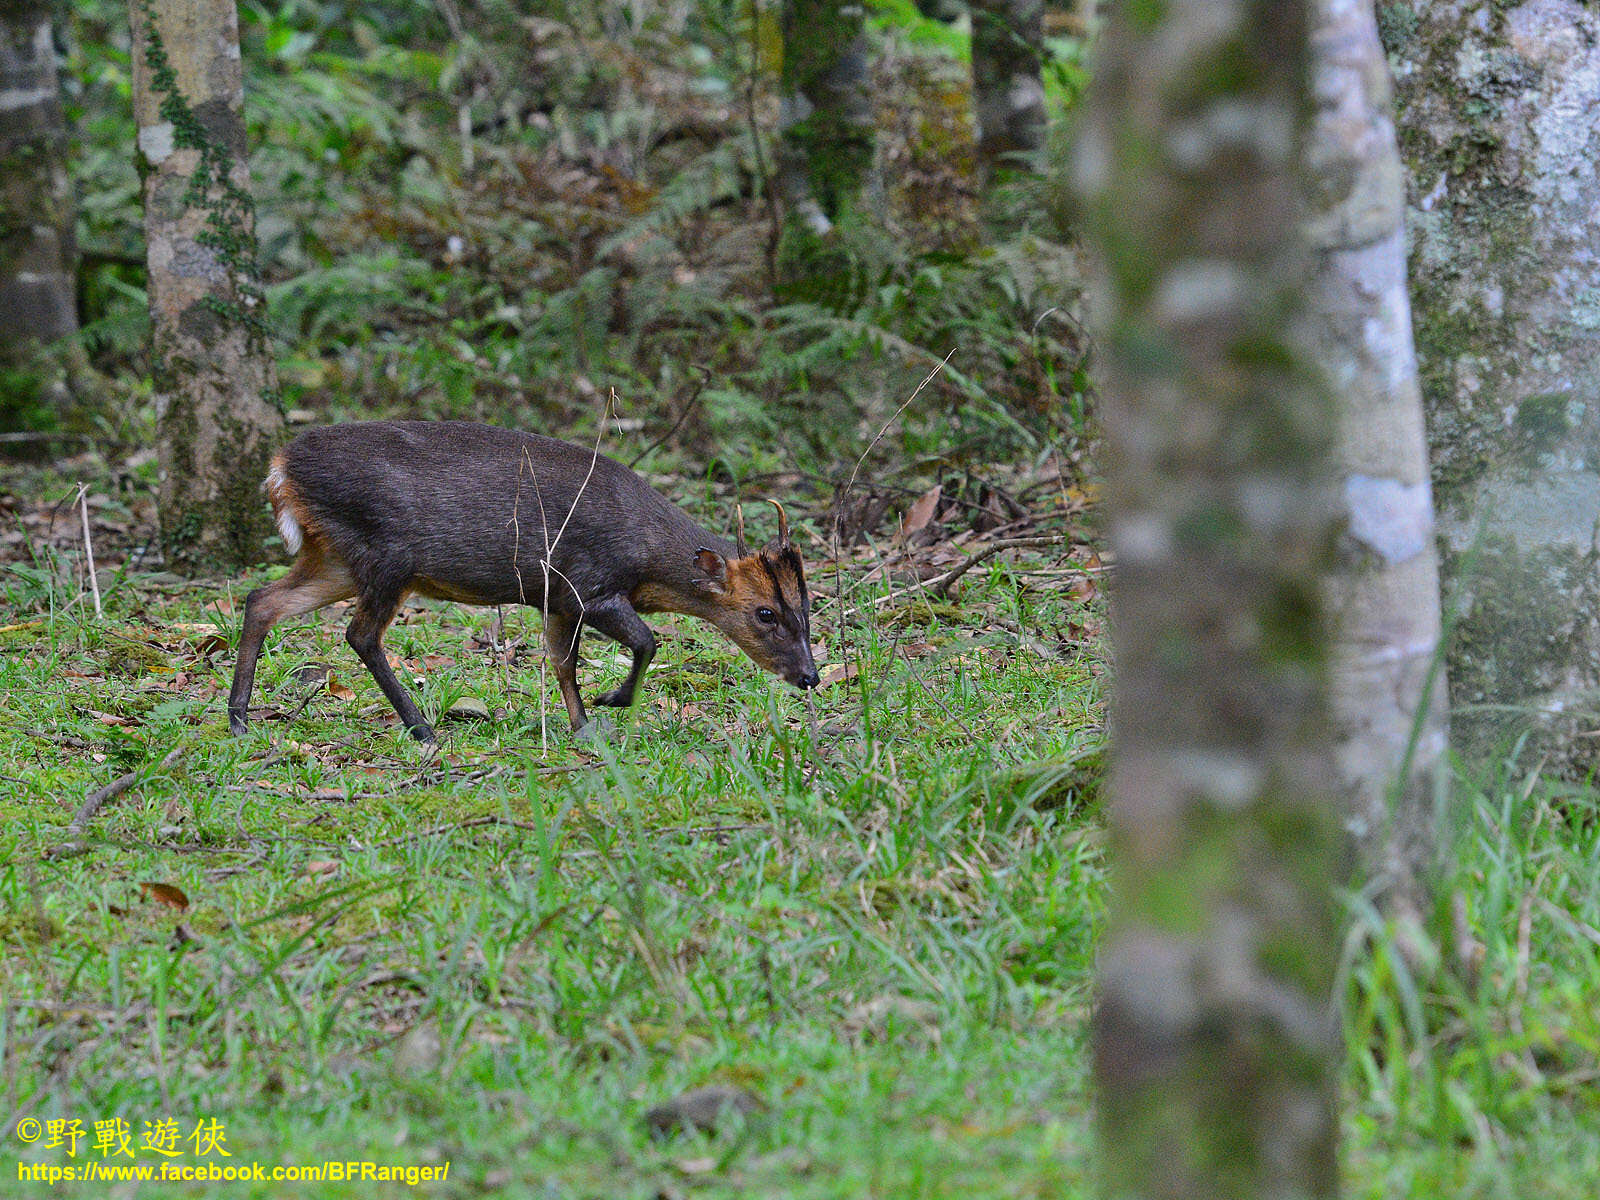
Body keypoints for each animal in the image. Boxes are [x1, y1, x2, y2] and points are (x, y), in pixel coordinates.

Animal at [225, 422, 819, 742]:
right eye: (765, 612)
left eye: (808, 608)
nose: (810, 676)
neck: (649, 562)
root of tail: (280, 467)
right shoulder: (588, 585)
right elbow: (646, 641)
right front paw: (612, 701)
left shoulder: (556, 601)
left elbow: (562, 664)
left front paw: (584, 725)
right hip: (387, 555)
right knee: (360, 634)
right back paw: (422, 728)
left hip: (337, 558)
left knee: (262, 600)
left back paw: (238, 719)